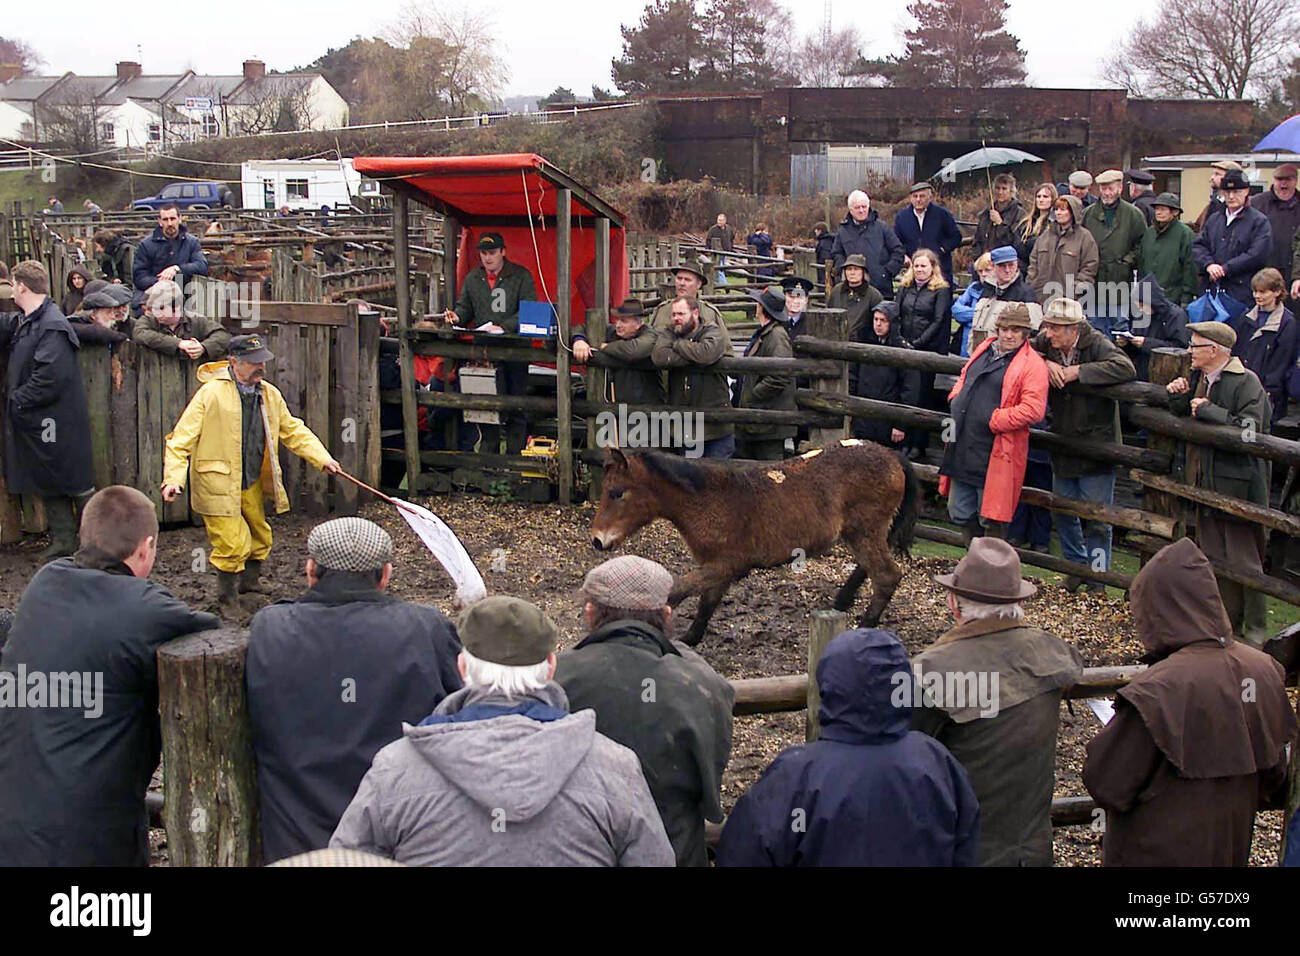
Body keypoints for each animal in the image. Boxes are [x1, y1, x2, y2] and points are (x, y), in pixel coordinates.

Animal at [590, 442, 915, 642]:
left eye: (617, 493)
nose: (597, 540)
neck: (708, 499)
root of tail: (891, 455)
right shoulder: (716, 568)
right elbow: (707, 602)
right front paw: (691, 638)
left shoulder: (726, 565)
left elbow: (676, 592)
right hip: (860, 534)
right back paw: (843, 600)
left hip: (865, 531)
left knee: (887, 576)